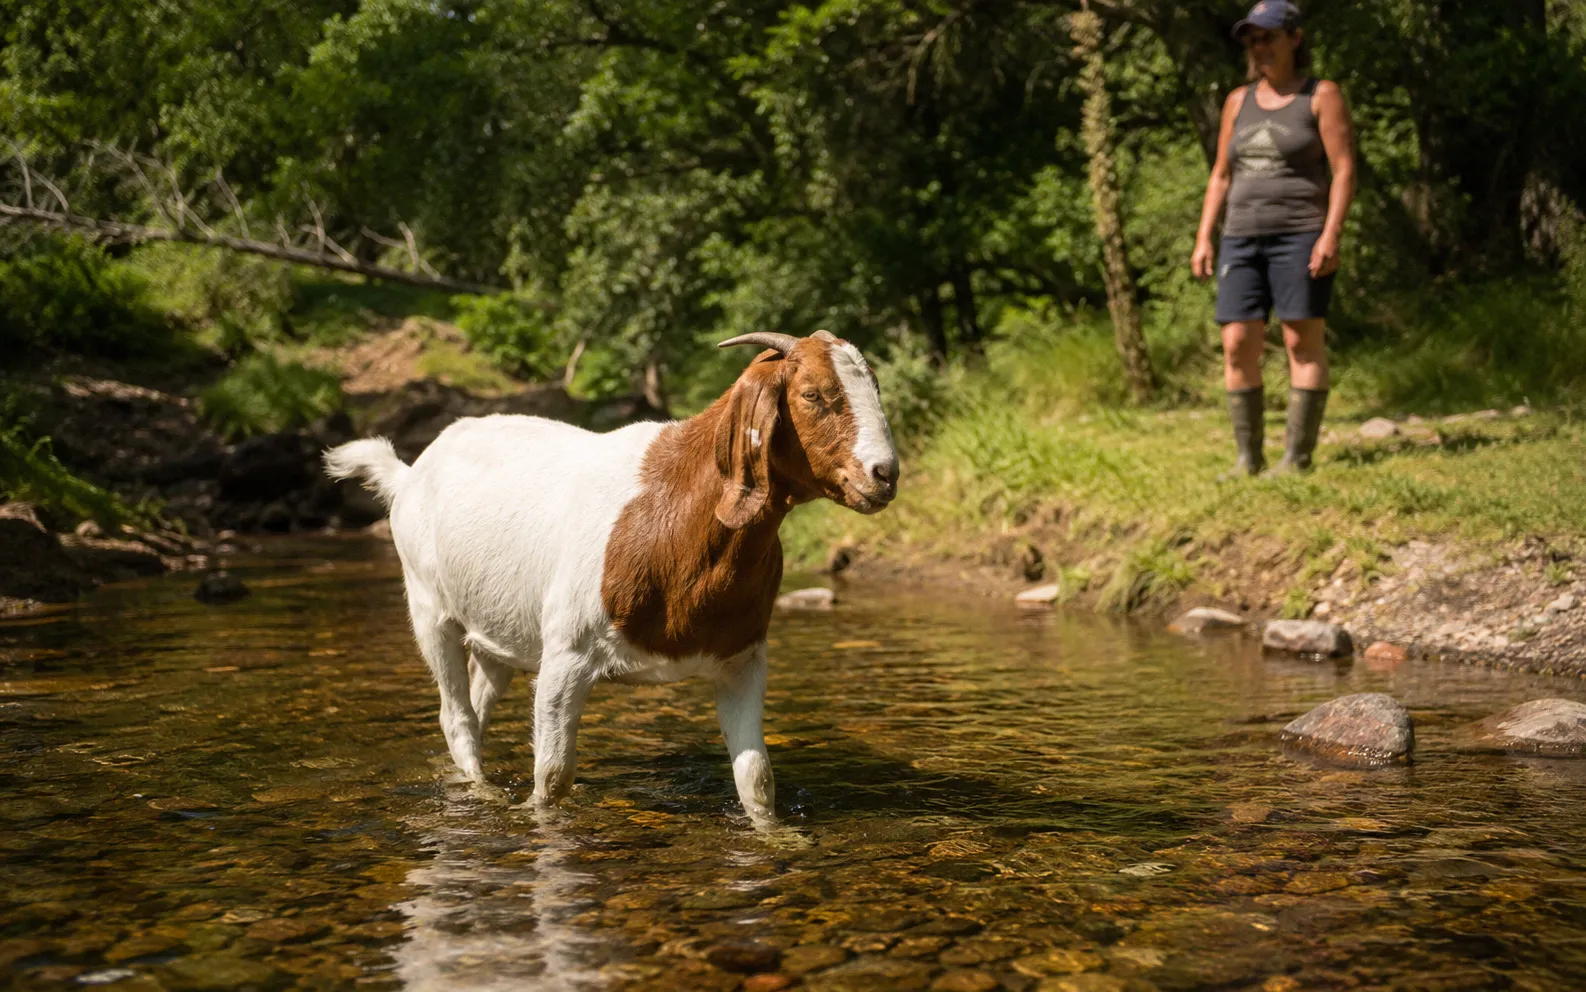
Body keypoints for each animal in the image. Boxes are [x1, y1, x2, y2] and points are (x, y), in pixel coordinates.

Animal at [324, 330, 898, 822]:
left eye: (874, 387)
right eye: (812, 394)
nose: (886, 474)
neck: (677, 512)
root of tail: (407, 475)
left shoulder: (742, 660)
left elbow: (756, 780)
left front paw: (778, 837)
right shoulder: (566, 656)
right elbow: (553, 778)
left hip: (499, 633)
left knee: (480, 700)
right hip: (428, 607)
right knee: (456, 716)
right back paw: (482, 794)